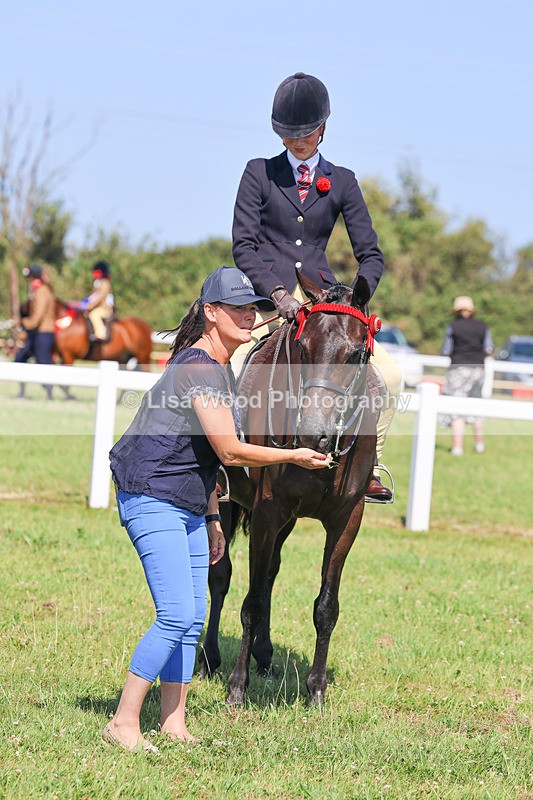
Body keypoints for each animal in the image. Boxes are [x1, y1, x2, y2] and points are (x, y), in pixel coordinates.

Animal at [199, 273, 383, 707]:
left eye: (356, 354)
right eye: (303, 348)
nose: (313, 435)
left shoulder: (346, 520)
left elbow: (326, 606)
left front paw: (316, 690)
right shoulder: (267, 511)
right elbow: (250, 601)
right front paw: (237, 687)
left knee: (269, 575)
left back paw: (265, 655)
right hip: (231, 505)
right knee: (222, 576)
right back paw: (211, 657)